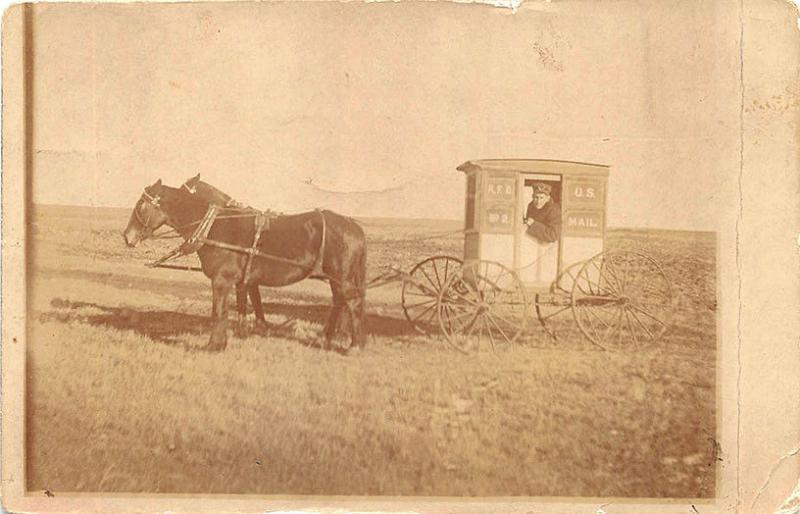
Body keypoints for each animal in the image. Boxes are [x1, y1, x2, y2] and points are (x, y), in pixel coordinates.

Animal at [122, 178, 368, 350]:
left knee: (354, 304)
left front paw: (214, 345)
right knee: (339, 302)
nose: (127, 236)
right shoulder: (241, 282)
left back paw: (353, 346)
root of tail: (354, 226)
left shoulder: (222, 280)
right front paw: (227, 340)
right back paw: (328, 338)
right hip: (336, 279)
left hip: (343, 278)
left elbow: (219, 312)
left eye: (141, 205)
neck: (215, 226)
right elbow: (239, 309)